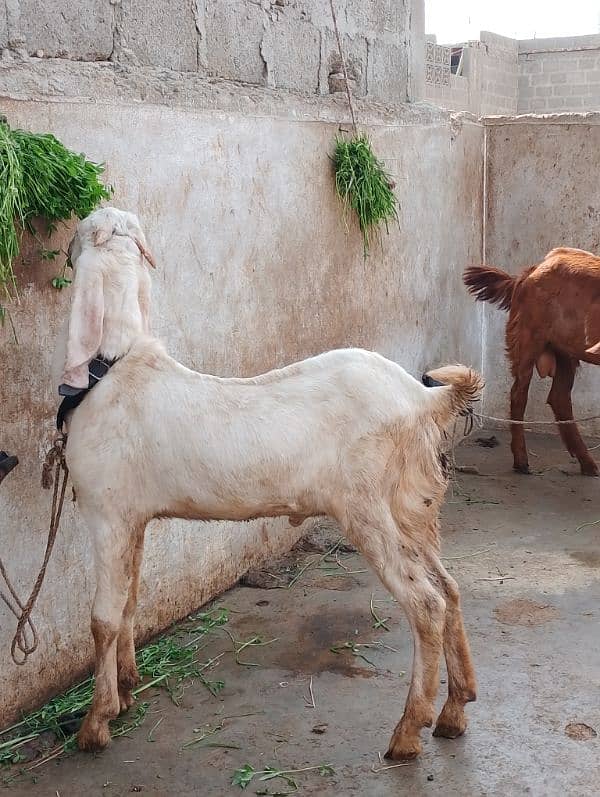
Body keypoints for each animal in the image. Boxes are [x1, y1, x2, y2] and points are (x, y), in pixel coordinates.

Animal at [59, 205, 482, 760]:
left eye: (80, 234)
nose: (64, 248)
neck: (114, 370)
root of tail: (421, 398)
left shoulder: (105, 512)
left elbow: (102, 619)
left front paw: (96, 722)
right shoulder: (135, 517)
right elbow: (130, 600)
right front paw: (127, 690)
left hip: (367, 506)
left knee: (426, 603)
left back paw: (408, 732)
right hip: (411, 501)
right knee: (448, 588)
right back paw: (455, 710)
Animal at [466, 246, 600, 476]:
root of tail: (528, 273)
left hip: (565, 350)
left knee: (559, 397)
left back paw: (587, 464)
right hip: (528, 339)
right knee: (519, 394)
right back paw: (521, 461)